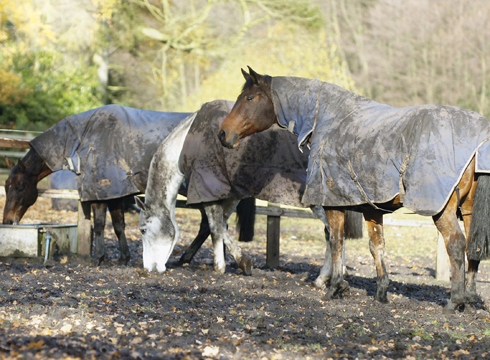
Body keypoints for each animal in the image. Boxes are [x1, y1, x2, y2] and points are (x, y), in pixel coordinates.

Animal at [2, 104, 256, 268]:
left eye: (20, 187)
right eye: (6, 185)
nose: (8, 221)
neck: (86, 135)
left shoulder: (103, 190)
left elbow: (100, 225)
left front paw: (99, 257)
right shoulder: (117, 193)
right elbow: (118, 225)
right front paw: (123, 257)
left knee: (210, 224)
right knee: (211, 224)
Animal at [134, 100, 364, 282]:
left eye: (143, 229)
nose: (149, 268)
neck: (186, 142)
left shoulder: (208, 189)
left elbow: (215, 227)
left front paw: (221, 266)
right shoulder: (231, 194)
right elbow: (220, 225)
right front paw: (240, 261)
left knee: (332, 234)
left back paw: (326, 277)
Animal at [218, 67, 490, 312]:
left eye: (249, 98)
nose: (223, 133)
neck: (327, 118)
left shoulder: (333, 203)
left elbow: (336, 241)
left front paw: (335, 287)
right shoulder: (371, 207)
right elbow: (376, 245)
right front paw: (381, 292)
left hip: (442, 209)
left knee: (456, 244)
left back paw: (455, 301)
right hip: (468, 210)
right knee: (473, 247)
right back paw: (470, 298)